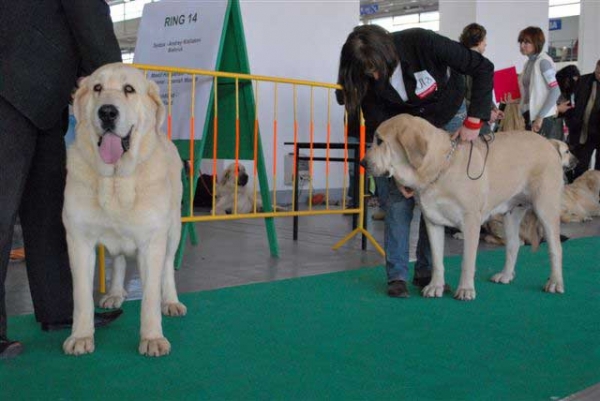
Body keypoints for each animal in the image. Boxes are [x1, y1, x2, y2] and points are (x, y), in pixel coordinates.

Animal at [63, 63, 185, 356]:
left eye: (129, 89)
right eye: (97, 88)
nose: (107, 112)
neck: (115, 180)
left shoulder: (152, 242)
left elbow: (150, 296)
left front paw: (152, 338)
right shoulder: (79, 240)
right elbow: (81, 296)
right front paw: (81, 336)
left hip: (174, 230)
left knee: (167, 267)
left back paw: (171, 302)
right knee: (118, 260)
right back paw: (116, 293)